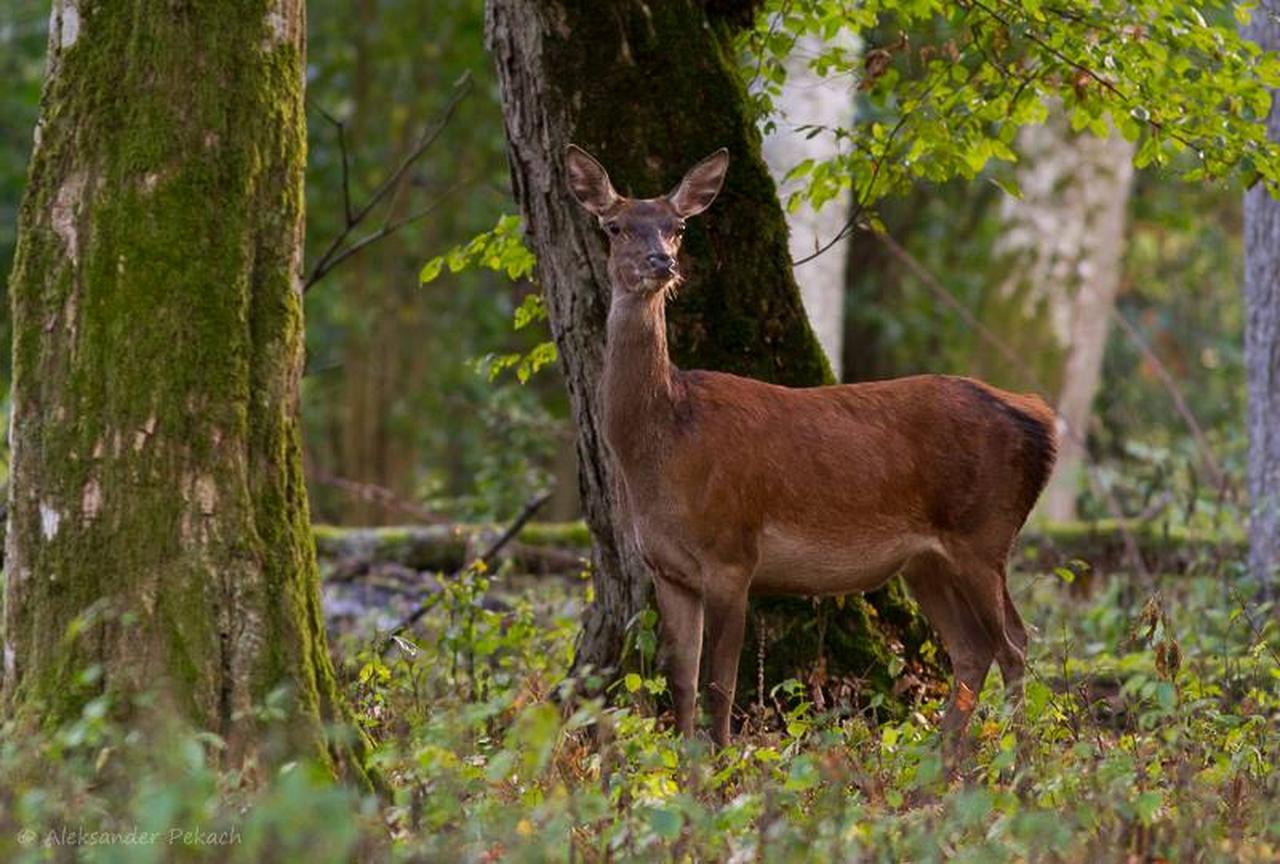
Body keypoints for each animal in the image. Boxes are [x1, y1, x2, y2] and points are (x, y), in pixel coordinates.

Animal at [565, 142, 1054, 752]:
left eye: (677, 227)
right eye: (615, 226)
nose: (662, 262)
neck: (664, 446)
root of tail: (1042, 418)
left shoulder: (731, 551)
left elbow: (720, 684)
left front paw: (723, 763)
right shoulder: (667, 569)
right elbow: (681, 682)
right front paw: (684, 763)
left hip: (982, 532)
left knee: (1015, 643)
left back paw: (1013, 759)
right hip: (927, 559)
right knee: (974, 648)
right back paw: (946, 761)